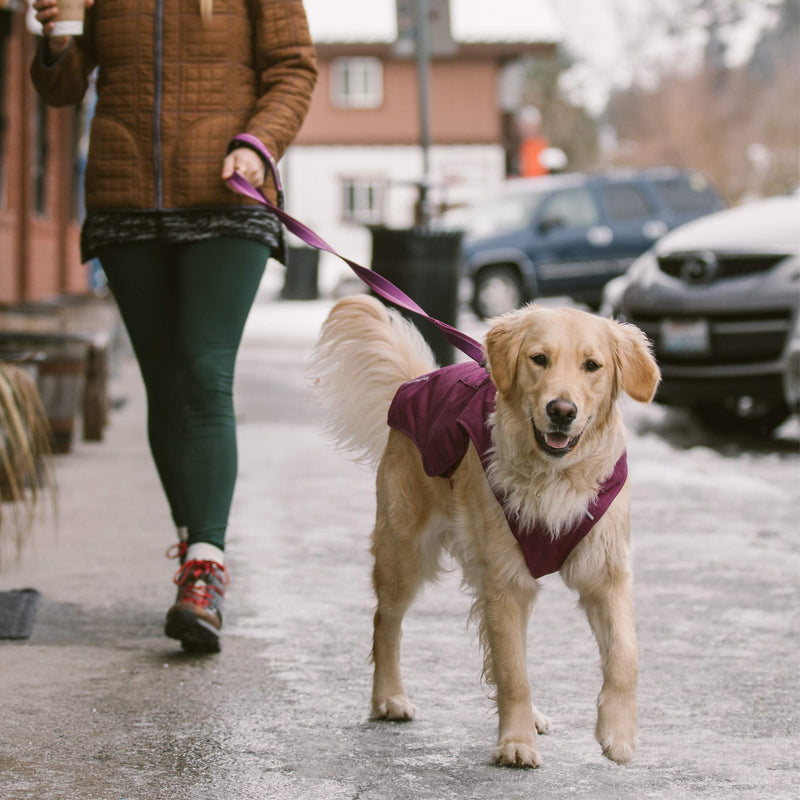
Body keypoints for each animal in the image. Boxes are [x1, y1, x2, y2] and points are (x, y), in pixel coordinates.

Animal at [310, 296, 660, 768]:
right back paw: (388, 699)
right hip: (405, 550)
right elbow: (513, 672)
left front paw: (618, 734)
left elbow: (625, 655)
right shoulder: (506, 580)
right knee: (386, 621)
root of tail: (416, 381)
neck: (554, 475)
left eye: (592, 365)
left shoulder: (605, 571)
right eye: (539, 359)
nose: (561, 411)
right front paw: (515, 743)